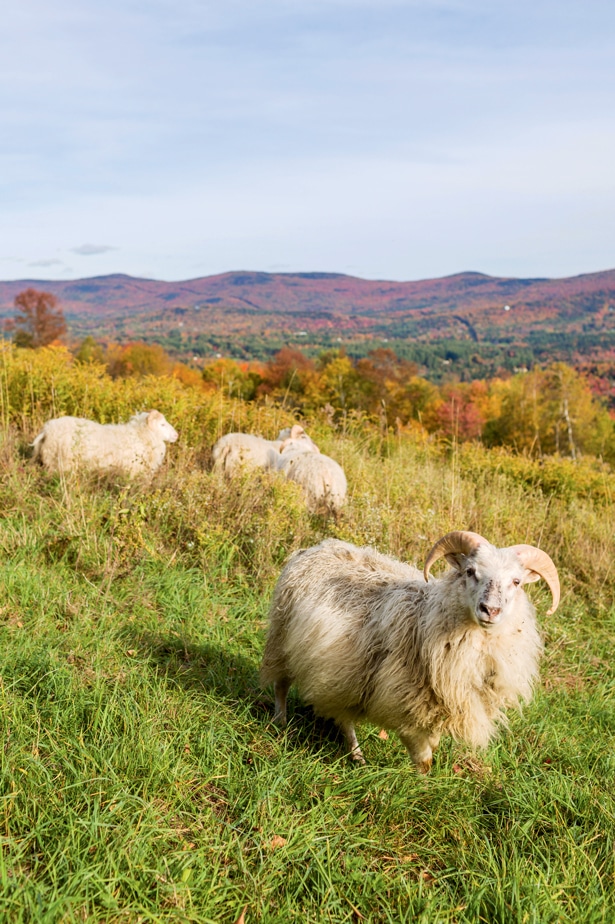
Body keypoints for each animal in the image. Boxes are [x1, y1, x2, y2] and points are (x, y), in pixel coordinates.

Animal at [262, 532, 560, 768]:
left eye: (517, 582)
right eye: (470, 571)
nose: (491, 610)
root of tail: (320, 546)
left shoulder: (443, 707)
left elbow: (435, 742)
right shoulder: (403, 703)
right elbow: (423, 757)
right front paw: (422, 785)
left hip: (344, 669)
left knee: (343, 712)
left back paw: (356, 754)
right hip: (282, 638)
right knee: (281, 685)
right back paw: (281, 722)